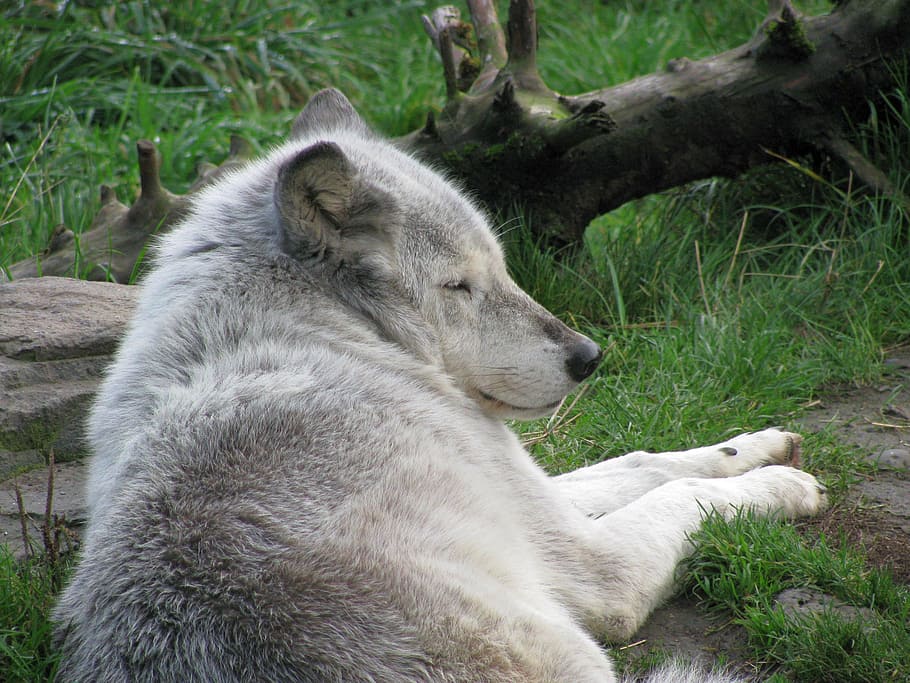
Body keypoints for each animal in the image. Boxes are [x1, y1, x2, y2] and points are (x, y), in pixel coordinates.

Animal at [55, 89, 827, 682]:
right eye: (459, 286)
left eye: (503, 268)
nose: (590, 356)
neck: (323, 333)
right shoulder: (592, 563)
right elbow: (684, 495)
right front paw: (785, 485)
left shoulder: (528, 487)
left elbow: (643, 462)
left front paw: (757, 445)